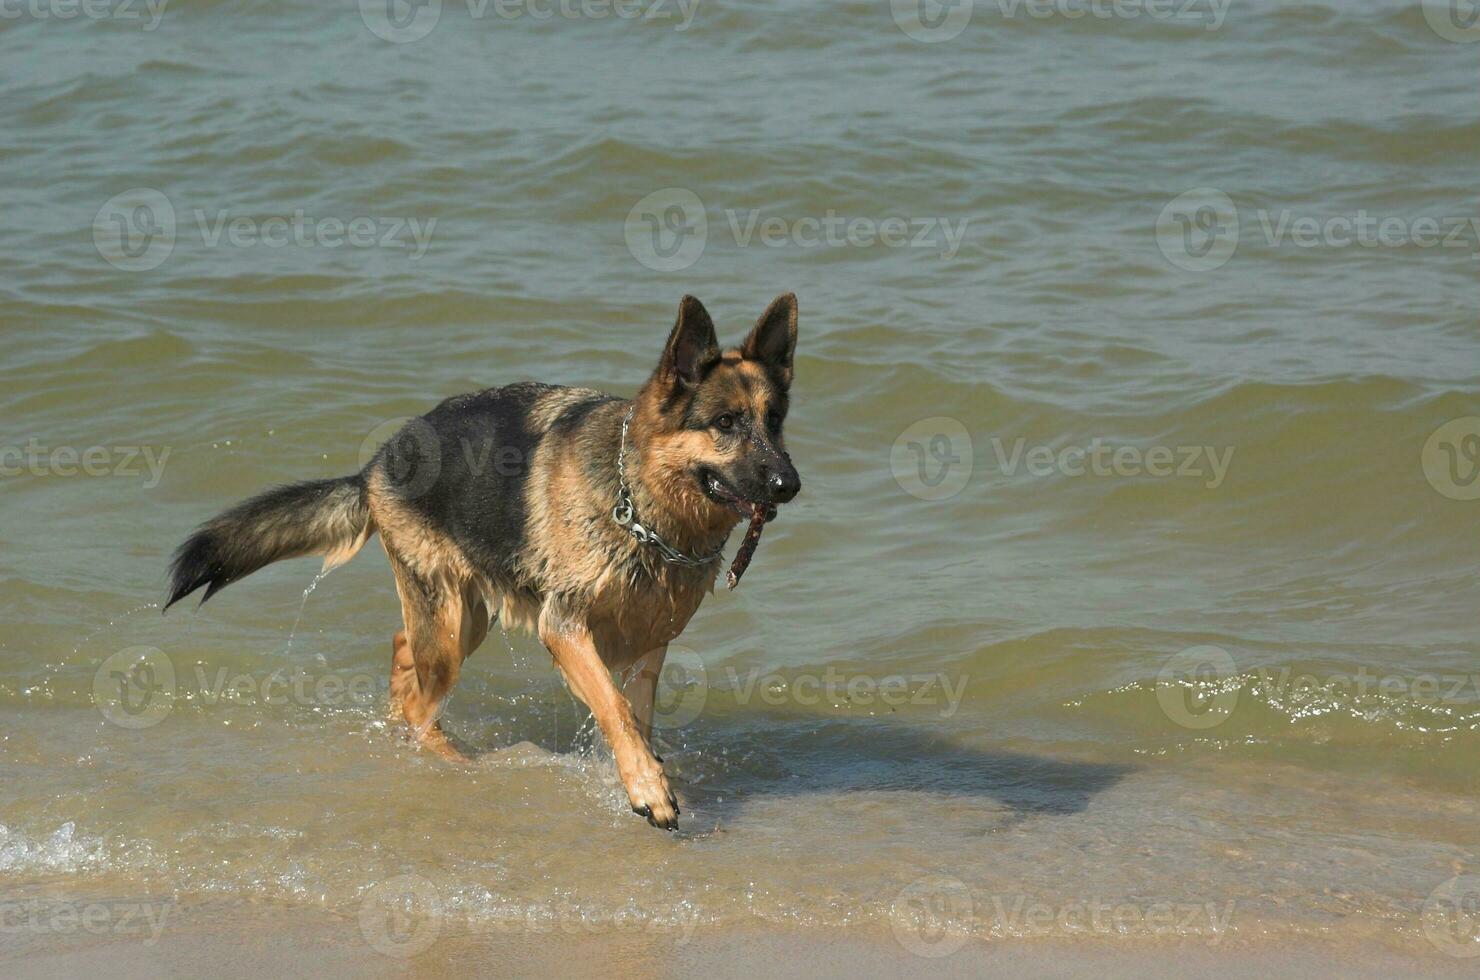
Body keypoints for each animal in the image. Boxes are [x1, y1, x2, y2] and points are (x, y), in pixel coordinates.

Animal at [165, 293, 799, 829]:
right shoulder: (565, 629)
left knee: (403, 657)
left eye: (775, 422)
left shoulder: (649, 646)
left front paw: (648, 776)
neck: (641, 510)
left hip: (464, 618)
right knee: (420, 701)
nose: (789, 485)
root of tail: (376, 464)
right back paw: (456, 763)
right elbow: (615, 710)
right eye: (725, 423)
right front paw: (647, 787)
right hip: (450, 625)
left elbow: (634, 715)